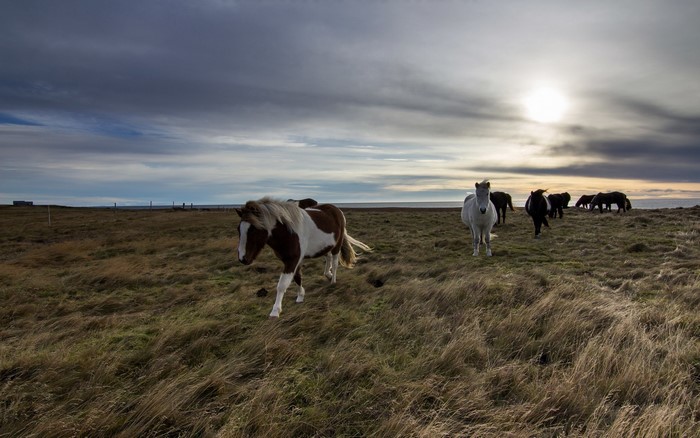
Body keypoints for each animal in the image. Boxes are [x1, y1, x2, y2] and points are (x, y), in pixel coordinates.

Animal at [236, 197, 371, 317]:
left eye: (254, 229)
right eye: (238, 229)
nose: (243, 258)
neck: (288, 232)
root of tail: (336, 210)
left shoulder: (292, 260)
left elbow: (282, 285)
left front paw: (275, 311)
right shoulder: (293, 260)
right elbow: (297, 277)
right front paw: (300, 296)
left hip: (336, 246)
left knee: (335, 262)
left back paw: (333, 281)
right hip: (326, 245)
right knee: (327, 258)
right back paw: (328, 274)